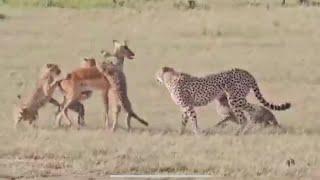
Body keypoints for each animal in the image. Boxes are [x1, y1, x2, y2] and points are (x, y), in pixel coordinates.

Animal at [156, 67, 292, 134]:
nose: (154, 76)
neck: (170, 79)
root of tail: (245, 72)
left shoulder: (188, 106)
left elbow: (193, 120)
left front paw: (197, 133)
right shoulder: (185, 107)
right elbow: (183, 121)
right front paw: (181, 133)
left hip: (235, 99)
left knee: (249, 113)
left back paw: (241, 132)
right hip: (238, 98)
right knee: (250, 111)